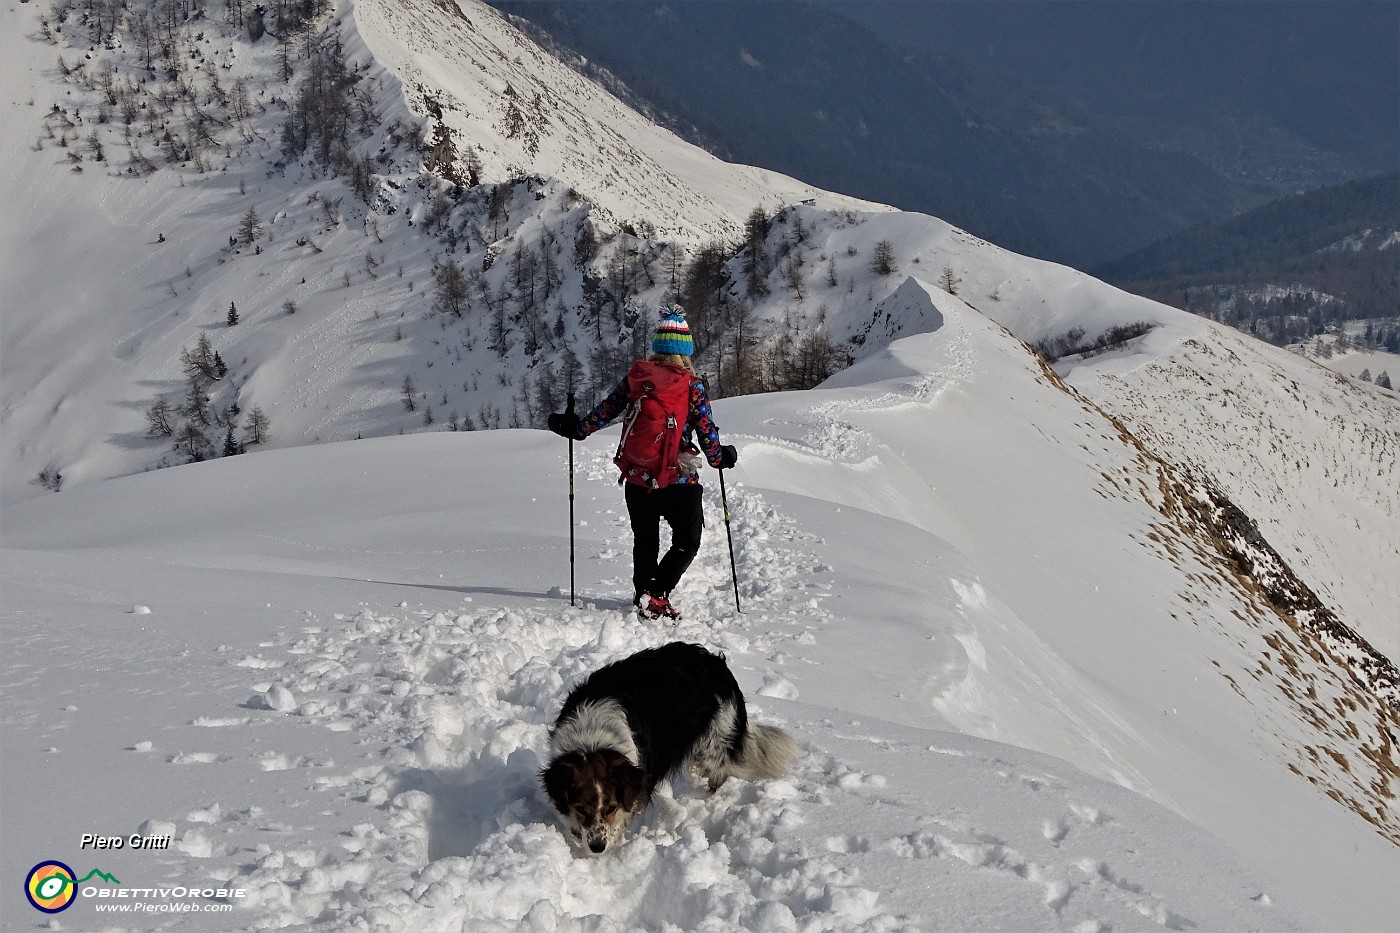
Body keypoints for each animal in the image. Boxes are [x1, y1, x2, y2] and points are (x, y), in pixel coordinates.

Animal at [537, 638, 800, 851]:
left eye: (611, 807)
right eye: (581, 809)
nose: (597, 847)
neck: (592, 738)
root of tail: (718, 664)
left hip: (714, 742)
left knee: (719, 773)